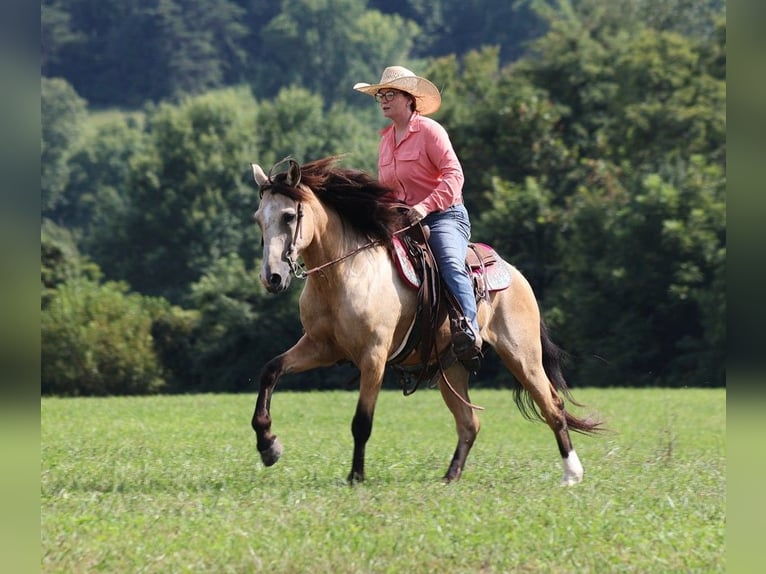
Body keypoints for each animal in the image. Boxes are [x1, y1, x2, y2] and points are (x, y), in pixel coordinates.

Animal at [249, 156, 601, 485]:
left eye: (289, 216)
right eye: (258, 220)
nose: (272, 278)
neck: (345, 274)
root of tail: (514, 274)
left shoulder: (373, 357)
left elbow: (362, 421)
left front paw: (356, 476)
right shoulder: (320, 348)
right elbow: (270, 370)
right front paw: (268, 445)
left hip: (522, 356)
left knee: (552, 406)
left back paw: (572, 474)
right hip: (452, 368)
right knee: (470, 423)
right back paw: (450, 477)